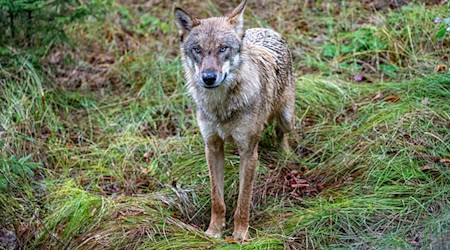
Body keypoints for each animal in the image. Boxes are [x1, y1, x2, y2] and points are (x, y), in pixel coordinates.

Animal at [173, 0, 296, 241]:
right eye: (197, 50)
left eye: (223, 48)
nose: (209, 78)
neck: (221, 106)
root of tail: (266, 30)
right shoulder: (212, 147)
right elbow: (217, 199)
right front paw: (213, 232)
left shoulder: (248, 152)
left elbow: (243, 201)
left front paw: (239, 236)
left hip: (286, 118)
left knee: (281, 133)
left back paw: (285, 155)